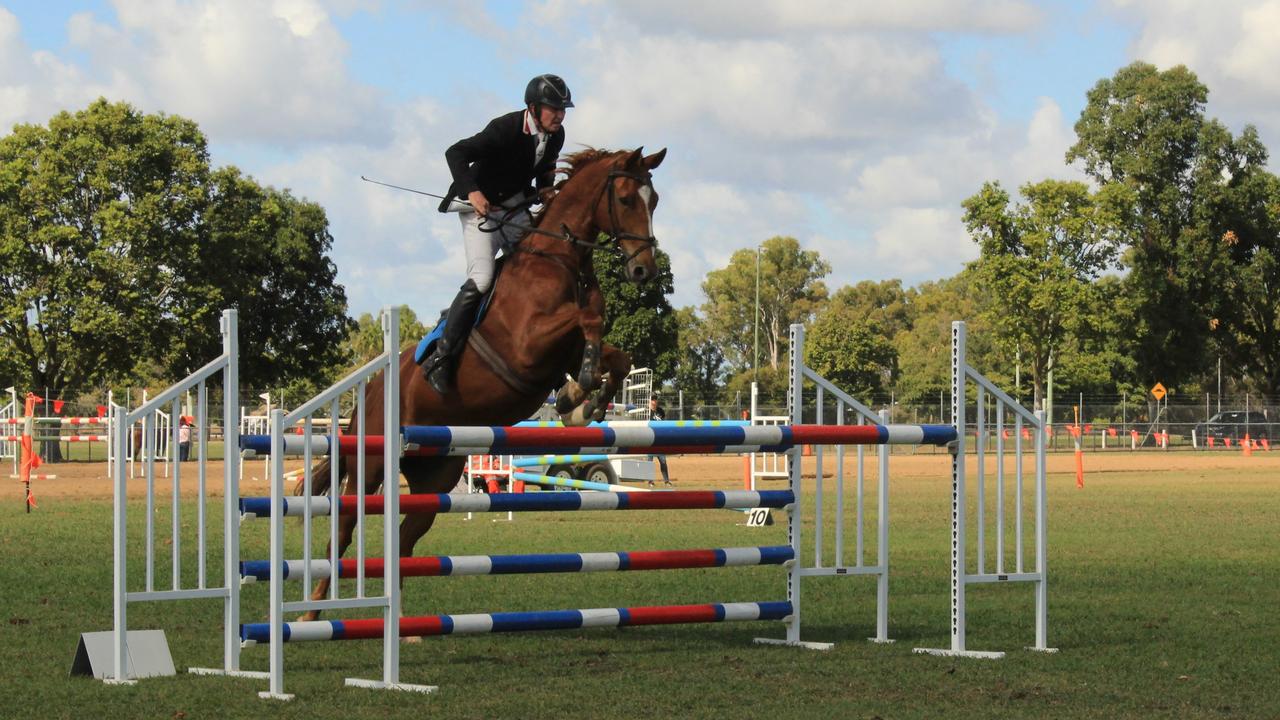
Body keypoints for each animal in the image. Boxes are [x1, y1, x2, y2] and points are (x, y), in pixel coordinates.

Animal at [294, 147, 665, 617]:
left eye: (654, 201)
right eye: (626, 198)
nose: (643, 270)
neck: (558, 259)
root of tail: (372, 389)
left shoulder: (563, 352)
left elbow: (616, 354)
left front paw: (579, 401)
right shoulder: (528, 344)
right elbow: (589, 318)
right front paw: (579, 392)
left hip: (435, 477)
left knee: (406, 537)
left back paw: (401, 621)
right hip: (372, 463)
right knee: (343, 528)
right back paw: (314, 611)